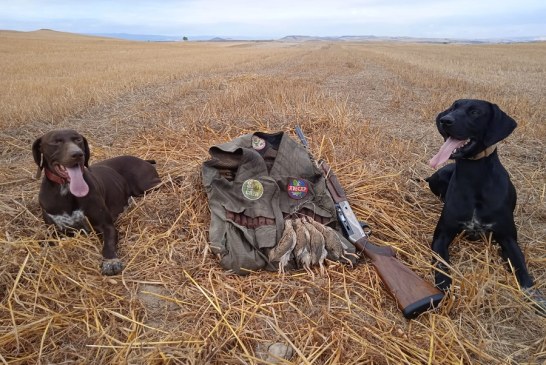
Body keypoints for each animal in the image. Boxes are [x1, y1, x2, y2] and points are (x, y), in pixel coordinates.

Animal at [32, 129, 159, 274]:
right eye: (55, 141)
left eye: (78, 139)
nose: (77, 154)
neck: (66, 190)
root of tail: (143, 160)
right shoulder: (54, 231)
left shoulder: (106, 225)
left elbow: (108, 244)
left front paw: (110, 261)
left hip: (145, 186)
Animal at [424, 100, 532, 292]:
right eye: (453, 108)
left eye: (475, 112)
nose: (445, 120)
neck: (474, 178)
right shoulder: (442, 235)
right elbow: (441, 263)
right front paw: (444, 285)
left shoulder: (508, 237)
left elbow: (521, 268)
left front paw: (531, 292)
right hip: (437, 178)